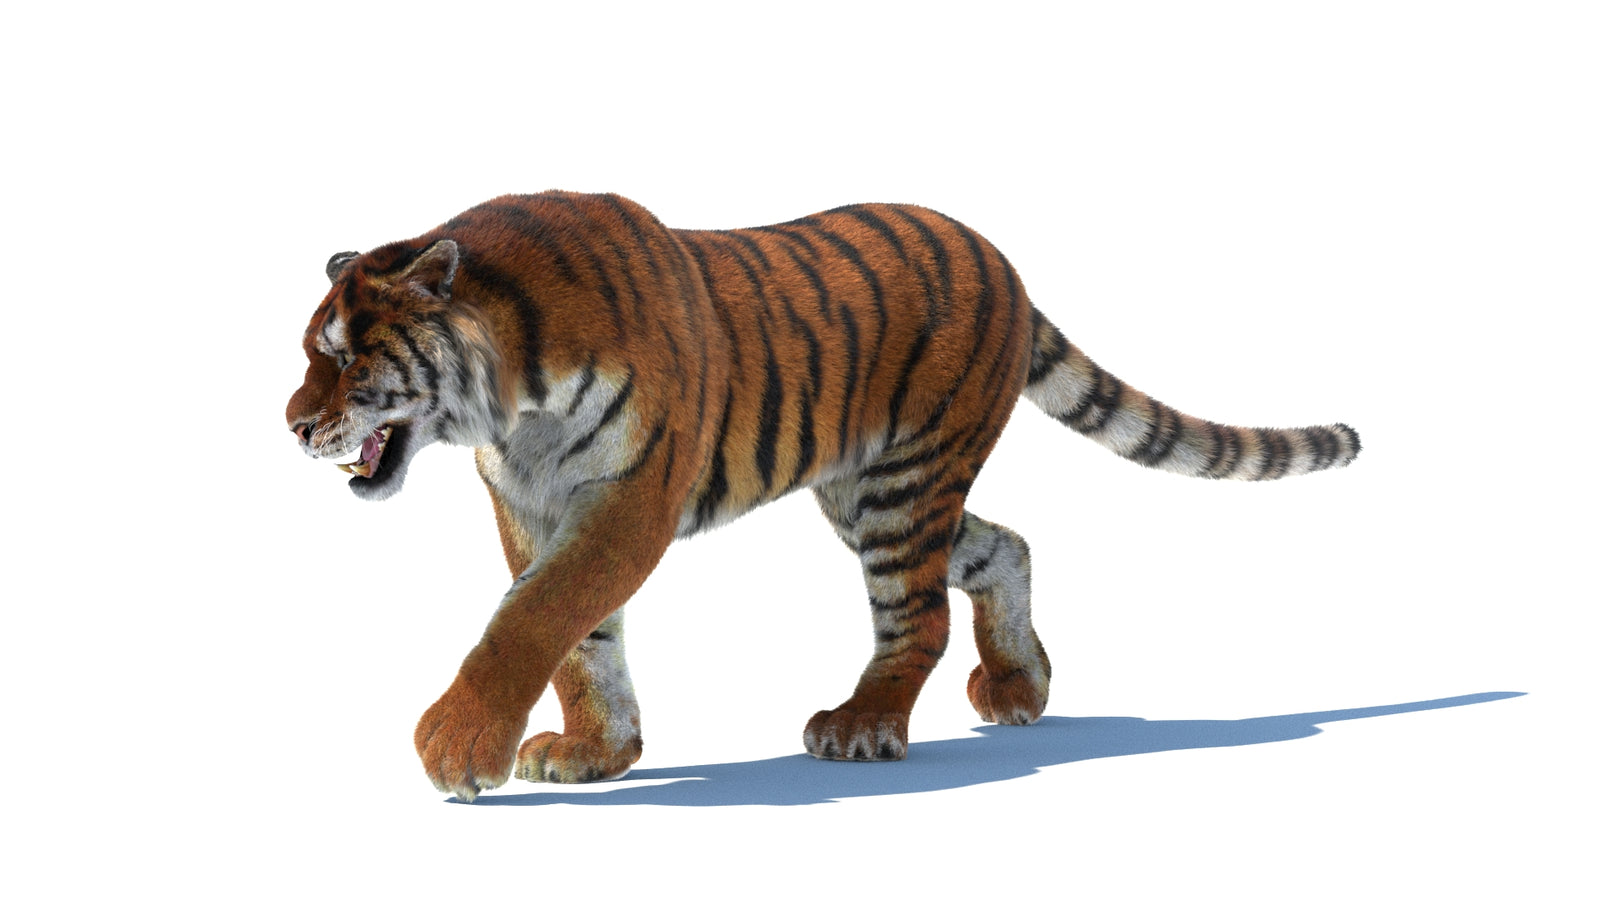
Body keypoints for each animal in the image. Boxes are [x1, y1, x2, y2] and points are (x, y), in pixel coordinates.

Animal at [286, 191, 1359, 802]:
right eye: (308, 354)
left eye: (345, 359)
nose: (293, 425)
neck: (512, 402)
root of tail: (1001, 258)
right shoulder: (530, 503)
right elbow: (581, 640)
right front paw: (598, 752)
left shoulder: (629, 498)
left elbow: (534, 617)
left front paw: (457, 749)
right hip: (868, 491)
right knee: (1005, 544)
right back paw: (1021, 686)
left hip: (905, 486)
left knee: (920, 615)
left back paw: (864, 725)